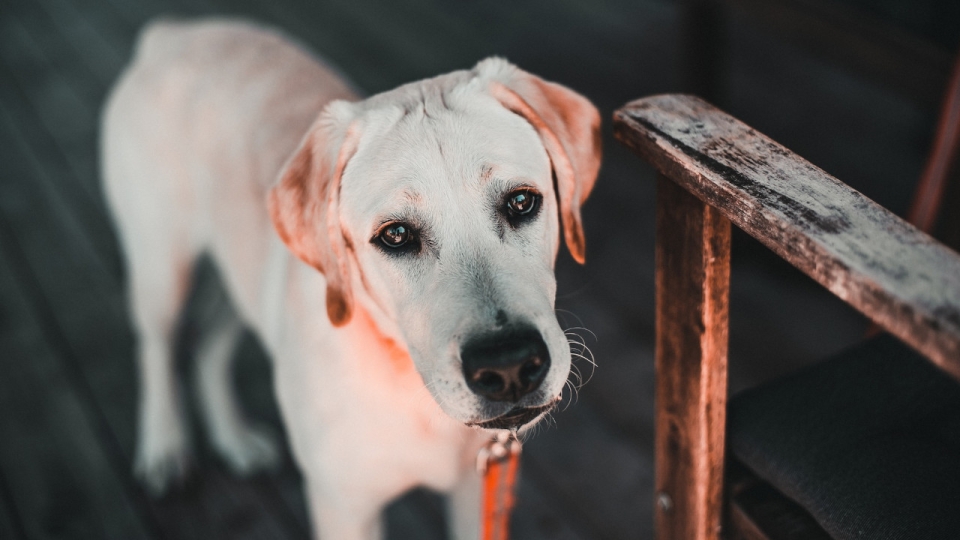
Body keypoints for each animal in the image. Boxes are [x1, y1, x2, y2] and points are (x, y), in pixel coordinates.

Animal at [105, 17, 600, 540]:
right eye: (396, 235)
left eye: (522, 202)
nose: (509, 368)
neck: (406, 380)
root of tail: (177, 31)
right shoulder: (343, 506)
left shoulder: (475, 495)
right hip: (160, 267)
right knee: (156, 347)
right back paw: (164, 447)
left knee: (207, 343)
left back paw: (233, 438)